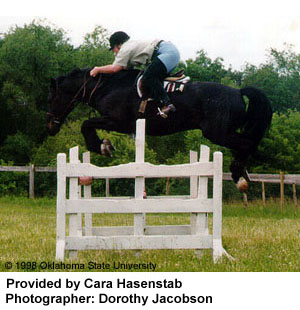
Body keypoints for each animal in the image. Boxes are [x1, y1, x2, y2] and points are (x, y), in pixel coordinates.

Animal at [46, 67, 272, 191]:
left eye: (52, 98)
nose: (49, 127)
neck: (108, 87)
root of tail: (238, 91)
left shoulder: (118, 122)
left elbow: (86, 125)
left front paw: (102, 146)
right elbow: (88, 125)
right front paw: (105, 145)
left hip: (217, 133)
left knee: (247, 143)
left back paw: (239, 177)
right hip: (222, 133)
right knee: (247, 143)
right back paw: (242, 174)